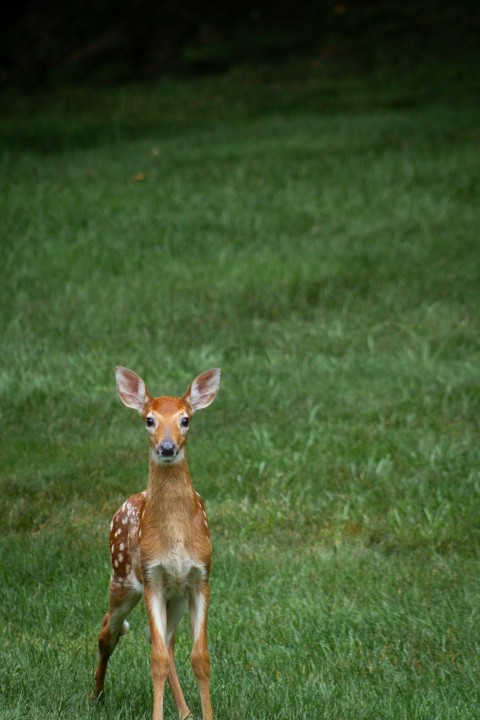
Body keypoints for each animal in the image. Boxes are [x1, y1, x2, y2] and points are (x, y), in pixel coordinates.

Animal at [91, 366, 221, 720]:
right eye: (149, 420)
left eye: (185, 419)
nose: (166, 447)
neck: (175, 538)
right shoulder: (153, 577)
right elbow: (157, 660)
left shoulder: (200, 577)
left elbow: (200, 657)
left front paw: (204, 714)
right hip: (122, 578)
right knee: (108, 630)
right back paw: (96, 694)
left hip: (175, 597)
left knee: (163, 639)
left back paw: (186, 711)